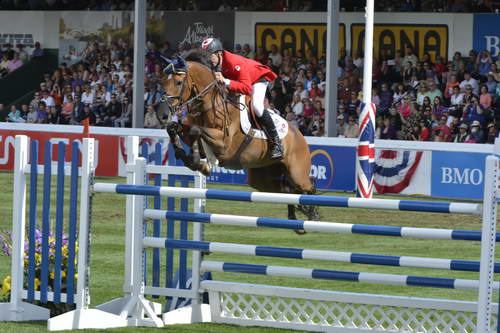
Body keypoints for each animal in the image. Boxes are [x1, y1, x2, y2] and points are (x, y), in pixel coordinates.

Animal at [162, 51, 318, 223]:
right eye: (164, 81)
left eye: (178, 82)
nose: (165, 108)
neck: (210, 104)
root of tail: (300, 136)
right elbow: (174, 128)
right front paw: (186, 157)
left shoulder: (224, 144)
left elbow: (195, 130)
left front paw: (198, 162)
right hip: (262, 178)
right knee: (286, 191)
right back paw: (293, 216)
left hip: (297, 173)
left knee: (309, 186)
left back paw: (313, 214)